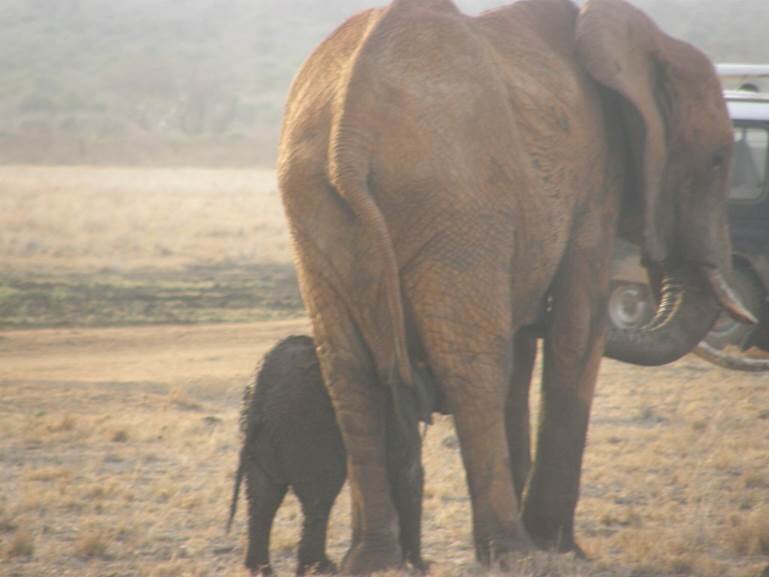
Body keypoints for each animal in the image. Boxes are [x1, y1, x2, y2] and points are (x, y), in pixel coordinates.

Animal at [227, 335, 429, 576]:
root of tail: (259, 393)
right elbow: (407, 471)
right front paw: (418, 566)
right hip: (308, 430)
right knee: (319, 497)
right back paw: (320, 568)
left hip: (260, 436)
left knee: (262, 497)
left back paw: (262, 570)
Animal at [276, 0, 755, 572]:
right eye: (717, 161)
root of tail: (349, 134)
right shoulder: (597, 178)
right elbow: (576, 328)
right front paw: (563, 549)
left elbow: (524, 349)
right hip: (458, 203)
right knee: (473, 368)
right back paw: (512, 552)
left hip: (318, 209)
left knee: (349, 372)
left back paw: (374, 559)